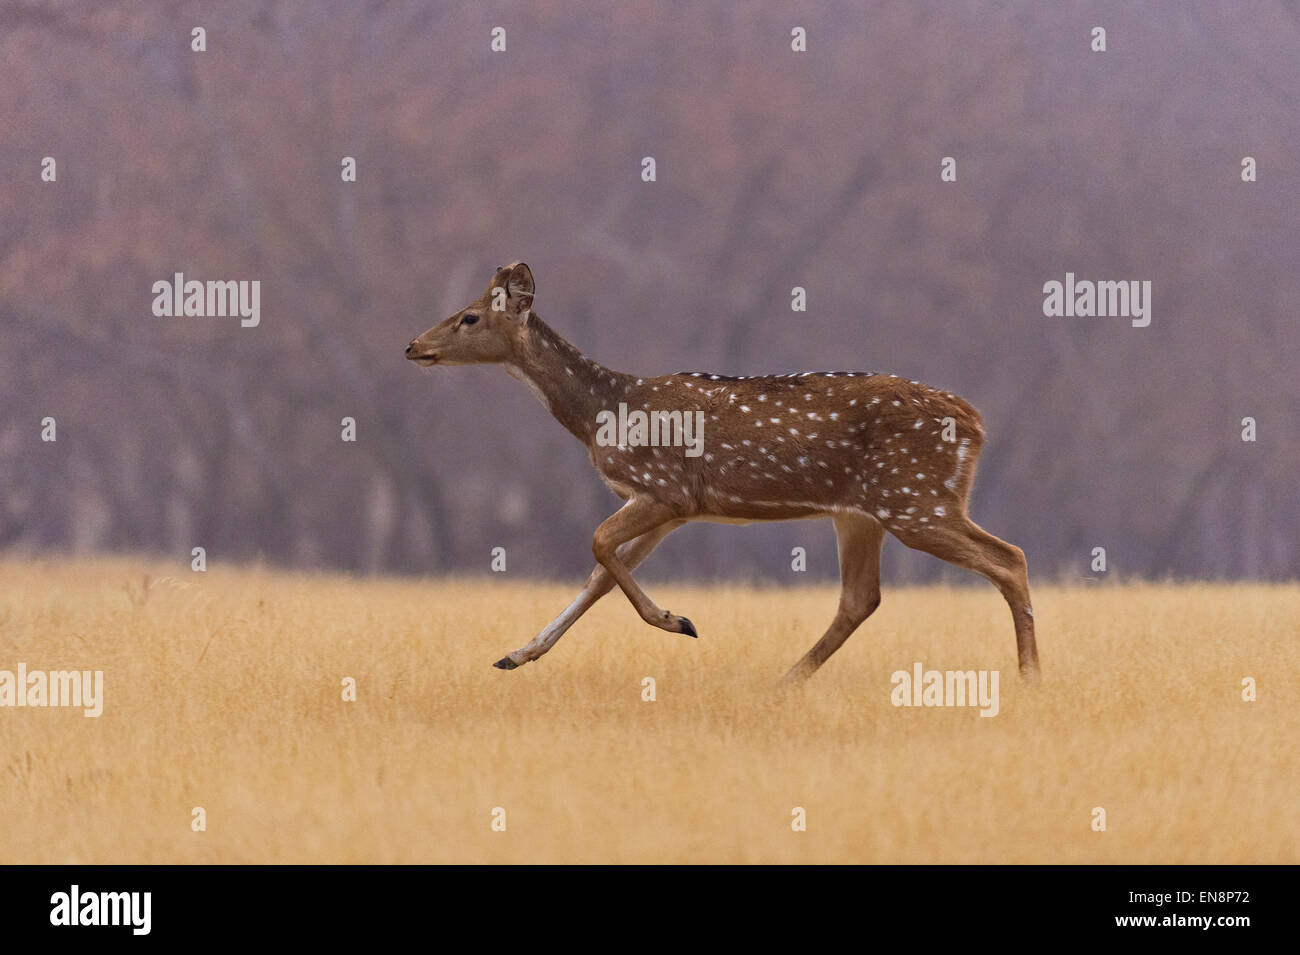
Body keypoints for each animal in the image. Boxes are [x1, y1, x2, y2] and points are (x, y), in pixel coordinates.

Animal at [400, 265, 1040, 686]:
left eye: (469, 316)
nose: (412, 346)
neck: (605, 411)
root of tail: (976, 421)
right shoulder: (672, 509)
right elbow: (601, 574)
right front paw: (516, 654)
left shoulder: (665, 489)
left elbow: (598, 544)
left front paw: (676, 621)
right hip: (864, 512)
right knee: (862, 598)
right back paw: (785, 682)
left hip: (915, 498)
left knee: (1008, 558)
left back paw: (1030, 677)